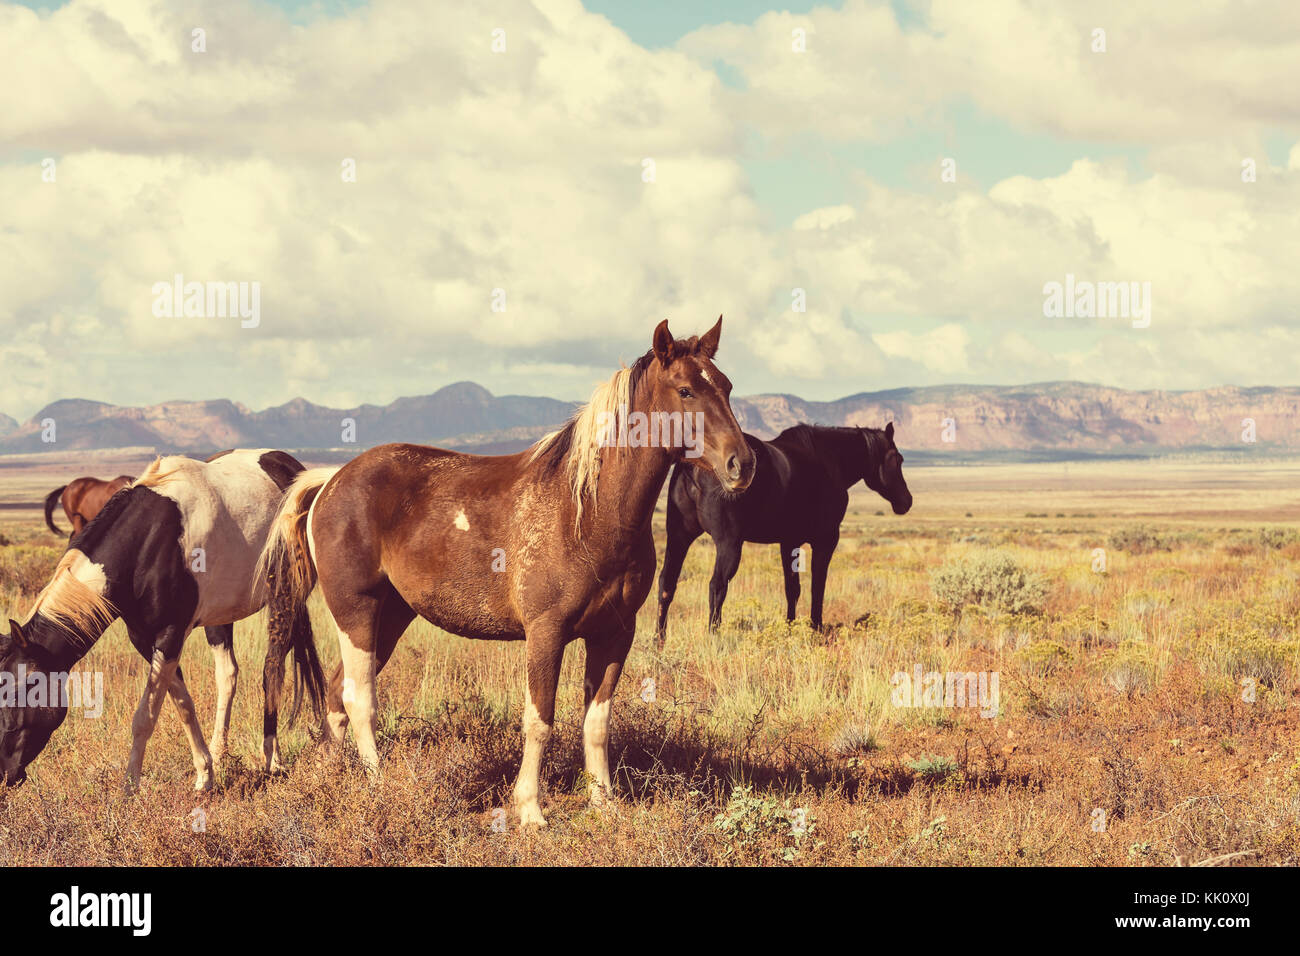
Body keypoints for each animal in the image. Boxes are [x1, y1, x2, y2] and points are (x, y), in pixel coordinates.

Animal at [0, 450, 324, 790]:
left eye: (23, 691)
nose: (6, 773)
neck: (147, 543)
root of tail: (289, 465)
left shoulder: (169, 636)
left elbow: (146, 716)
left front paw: (130, 786)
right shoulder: (146, 640)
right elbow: (183, 704)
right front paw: (205, 774)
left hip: (284, 601)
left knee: (272, 670)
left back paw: (273, 759)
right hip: (220, 617)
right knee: (228, 676)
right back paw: (221, 753)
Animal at [258, 317, 754, 826]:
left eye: (727, 386)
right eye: (685, 390)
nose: (742, 463)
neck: (587, 512)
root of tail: (329, 482)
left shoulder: (616, 633)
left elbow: (597, 723)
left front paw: (604, 803)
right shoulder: (546, 633)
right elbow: (539, 721)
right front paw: (530, 810)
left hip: (391, 616)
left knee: (336, 693)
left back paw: (332, 778)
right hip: (356, 612)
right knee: (359, 698)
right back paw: (378, 786)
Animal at [655, 422, 912, 643]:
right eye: (898, 459)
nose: (906, 501)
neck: (829, 460)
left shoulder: (789, 542)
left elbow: (792, 588)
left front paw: (790, 628)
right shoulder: (826, 541)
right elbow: (817, 586)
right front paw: (815, 628)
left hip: (679, 537)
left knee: (667, 583)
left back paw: (659, 639)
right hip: (728, 545)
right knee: (717, 587)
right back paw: (713, 637)